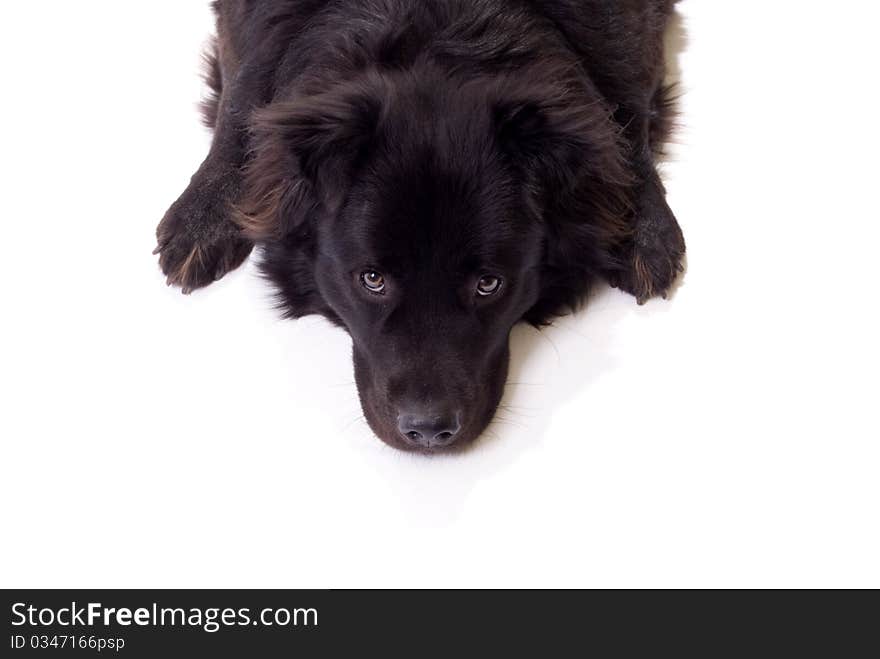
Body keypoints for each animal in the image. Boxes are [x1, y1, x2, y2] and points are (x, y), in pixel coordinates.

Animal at [155, 0, 684, 452]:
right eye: (372, 279)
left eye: (489, 284)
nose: (428, 430)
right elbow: (243, 90)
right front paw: (203, 212)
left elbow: (625, 97)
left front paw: (646, 227)